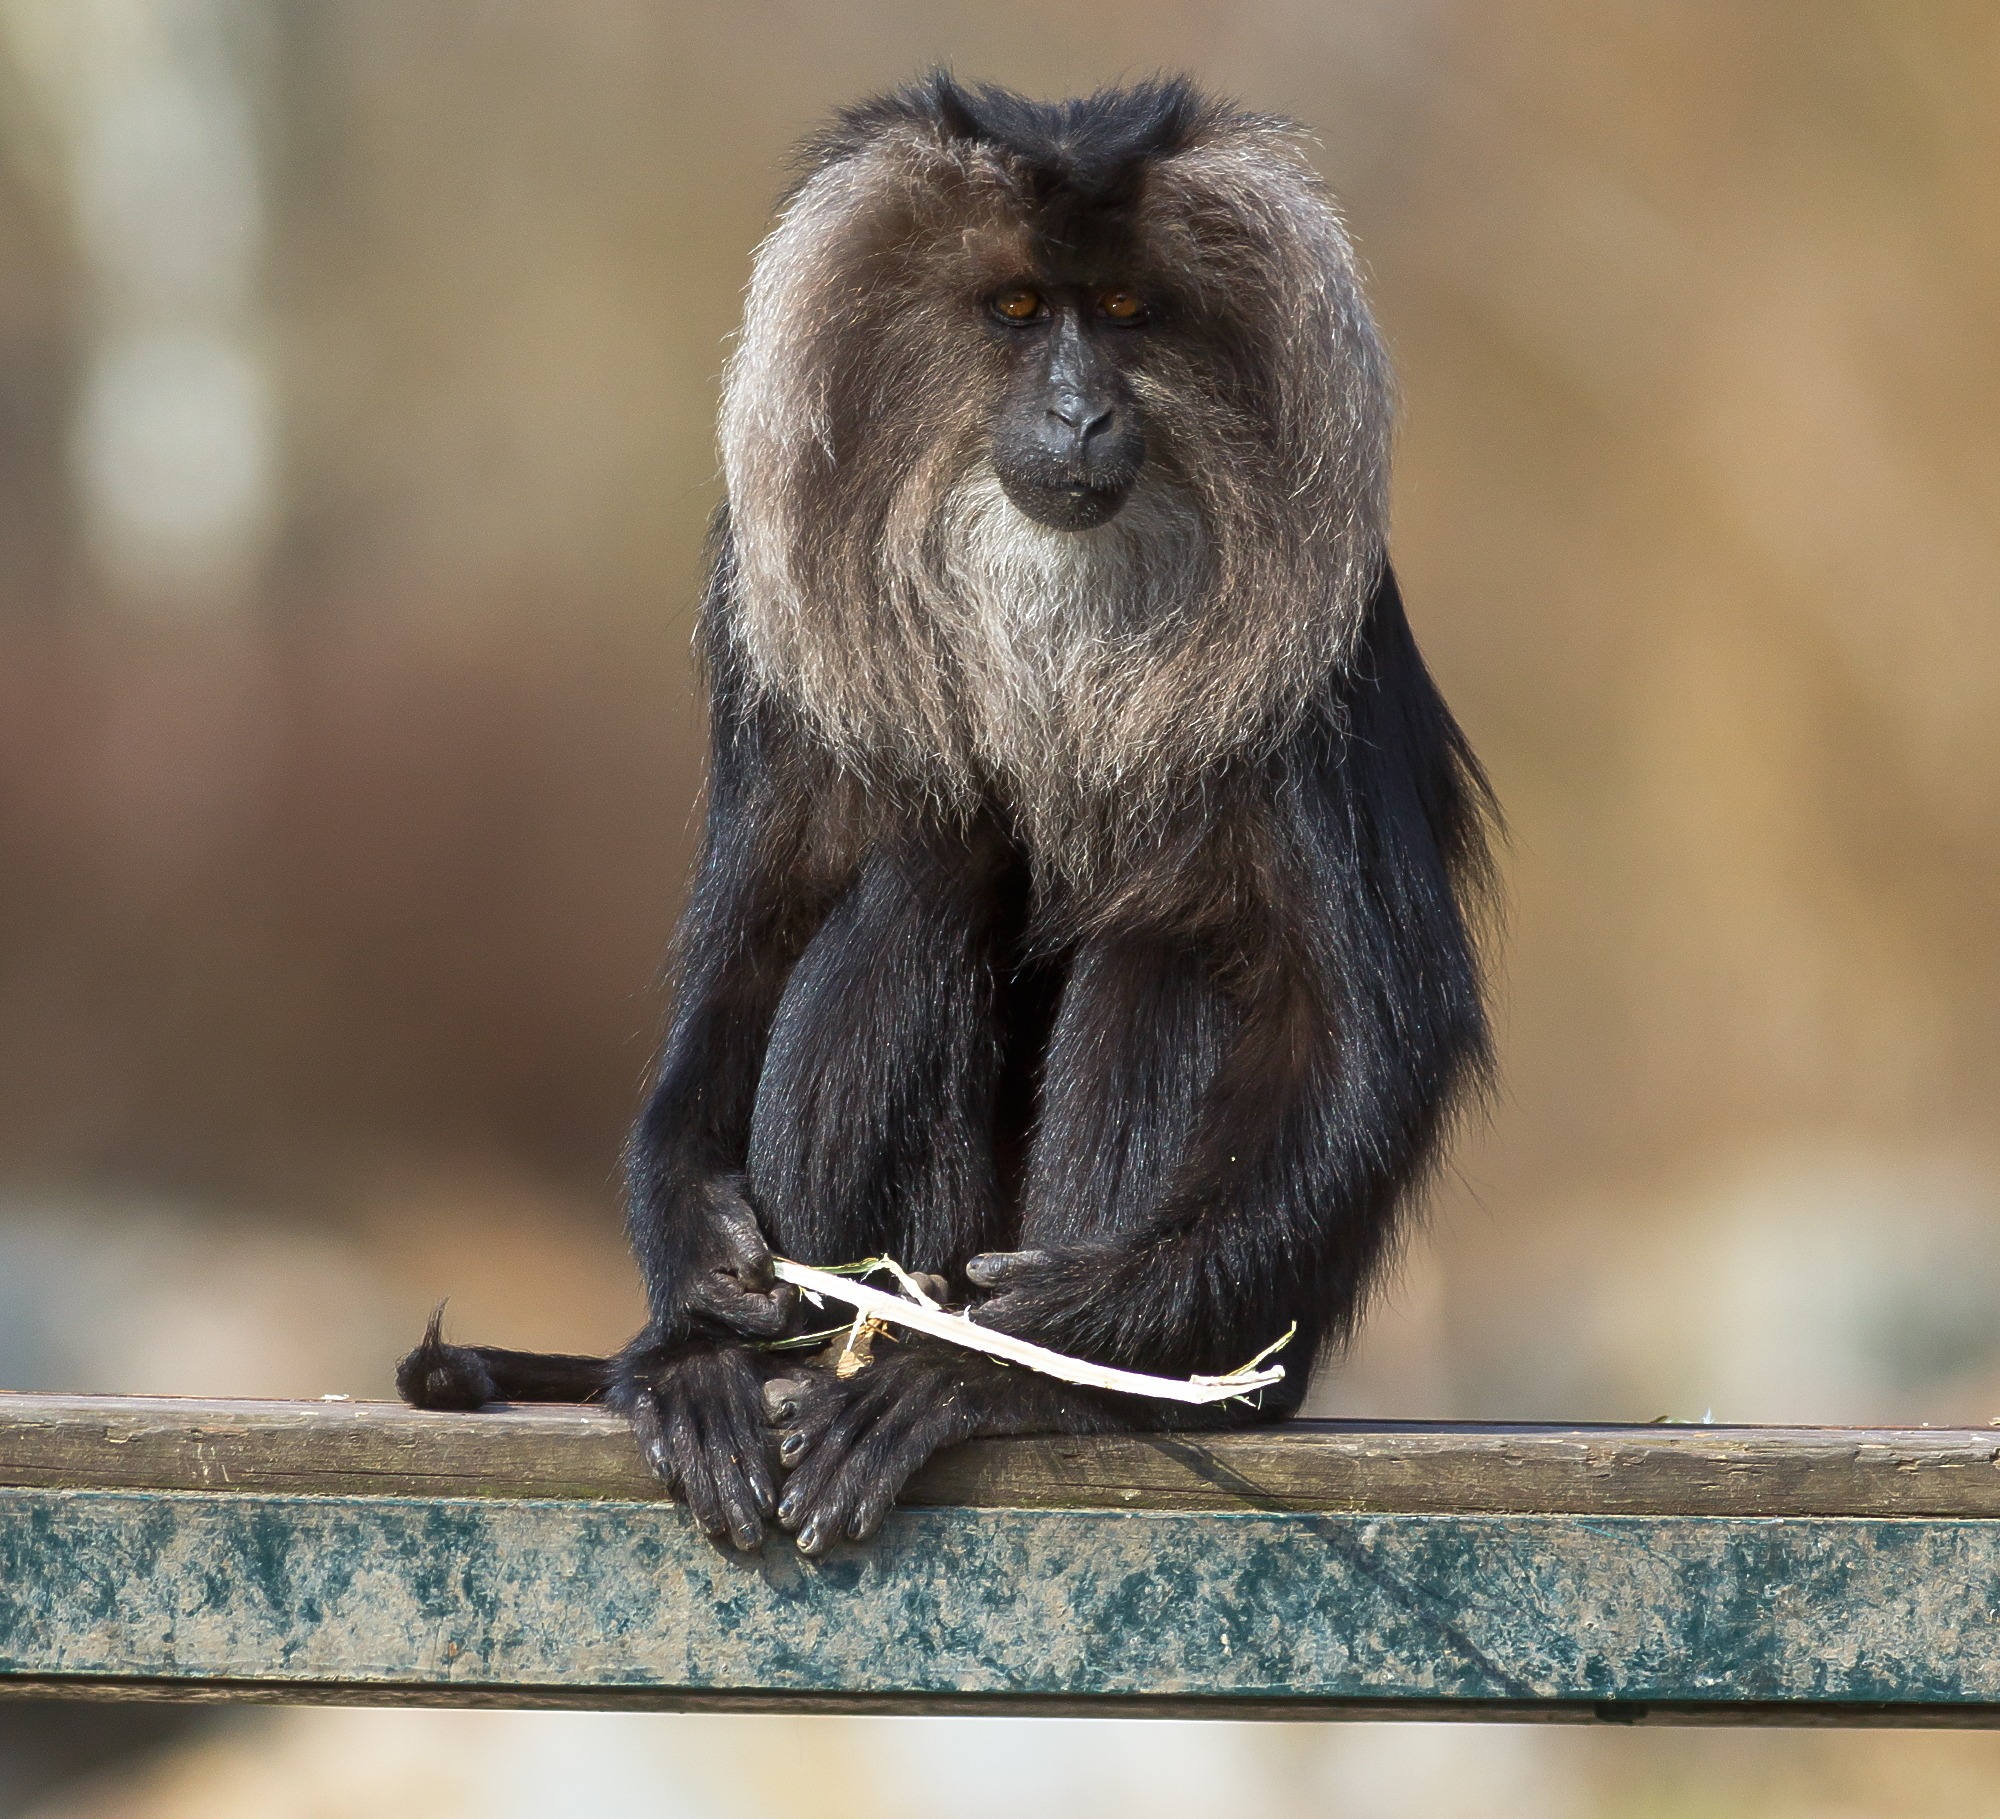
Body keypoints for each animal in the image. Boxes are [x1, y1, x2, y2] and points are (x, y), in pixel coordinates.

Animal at [398, 74, 1496, 1559]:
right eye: (1020, 311)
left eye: (1128, 312)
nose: (1082, 414)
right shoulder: (770, 606)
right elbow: (760, 932)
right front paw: (697, 1277)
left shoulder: (1324, 640)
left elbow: (1364, 1021)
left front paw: (1051, 1339)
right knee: (921, 870)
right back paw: (806, 1349)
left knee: (1171, 949)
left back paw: (994, 1377)